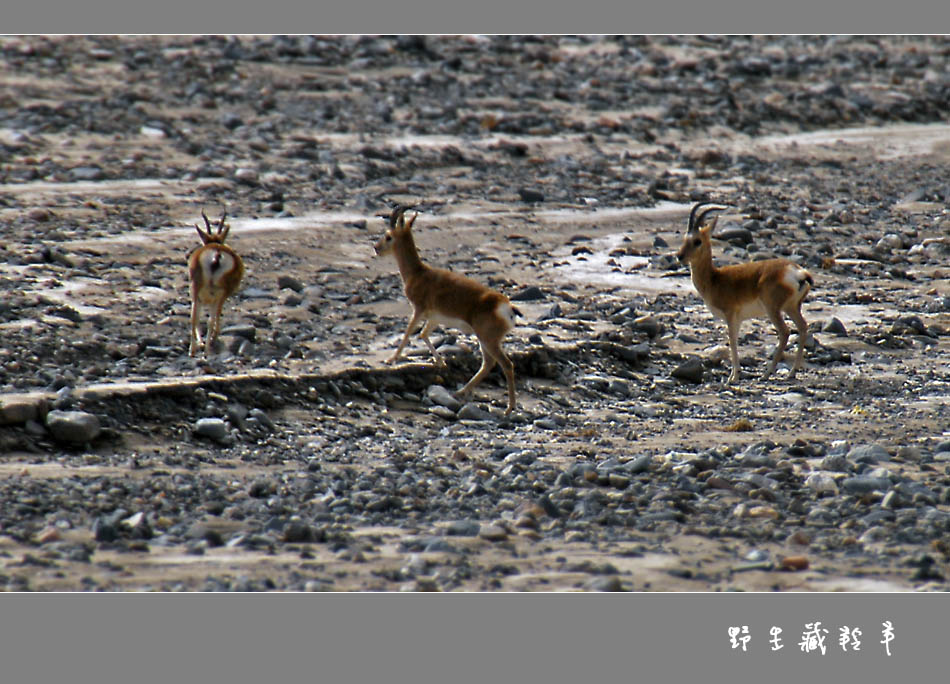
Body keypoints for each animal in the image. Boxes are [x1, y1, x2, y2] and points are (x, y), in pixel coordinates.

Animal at [188, 210, 244, 358]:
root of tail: (217, 254)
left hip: (198, 289)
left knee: (196, 318)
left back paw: (196, 350)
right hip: (218, 294)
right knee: (206, 318)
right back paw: (203, 349)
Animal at [374, 203, 520, 414]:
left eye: (388, 235)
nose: (376, 248)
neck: (418, 273)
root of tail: (506, 307)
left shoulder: (418, 309)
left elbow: (409, 333)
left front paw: (391, 359)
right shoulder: (434, 318)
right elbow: (423, 334)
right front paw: (441, 362)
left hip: (488, 340)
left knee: (506, 365)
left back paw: (509, 408)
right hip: (486, 340)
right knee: (488, 364)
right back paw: (460, 392)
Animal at [676, 202, 820, 384]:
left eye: (697, 241)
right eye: (684, 239)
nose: (679, 256)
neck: (714, 278)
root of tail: (798, 272)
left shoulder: (730, 315)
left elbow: (732, 339)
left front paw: (733, 377)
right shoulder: (737, 319)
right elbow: (734, 339)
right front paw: (733, 375)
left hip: (773, 309)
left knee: (785, 332)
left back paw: (766, 374)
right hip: (791, 308)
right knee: (802, 327)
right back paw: (791, 372)